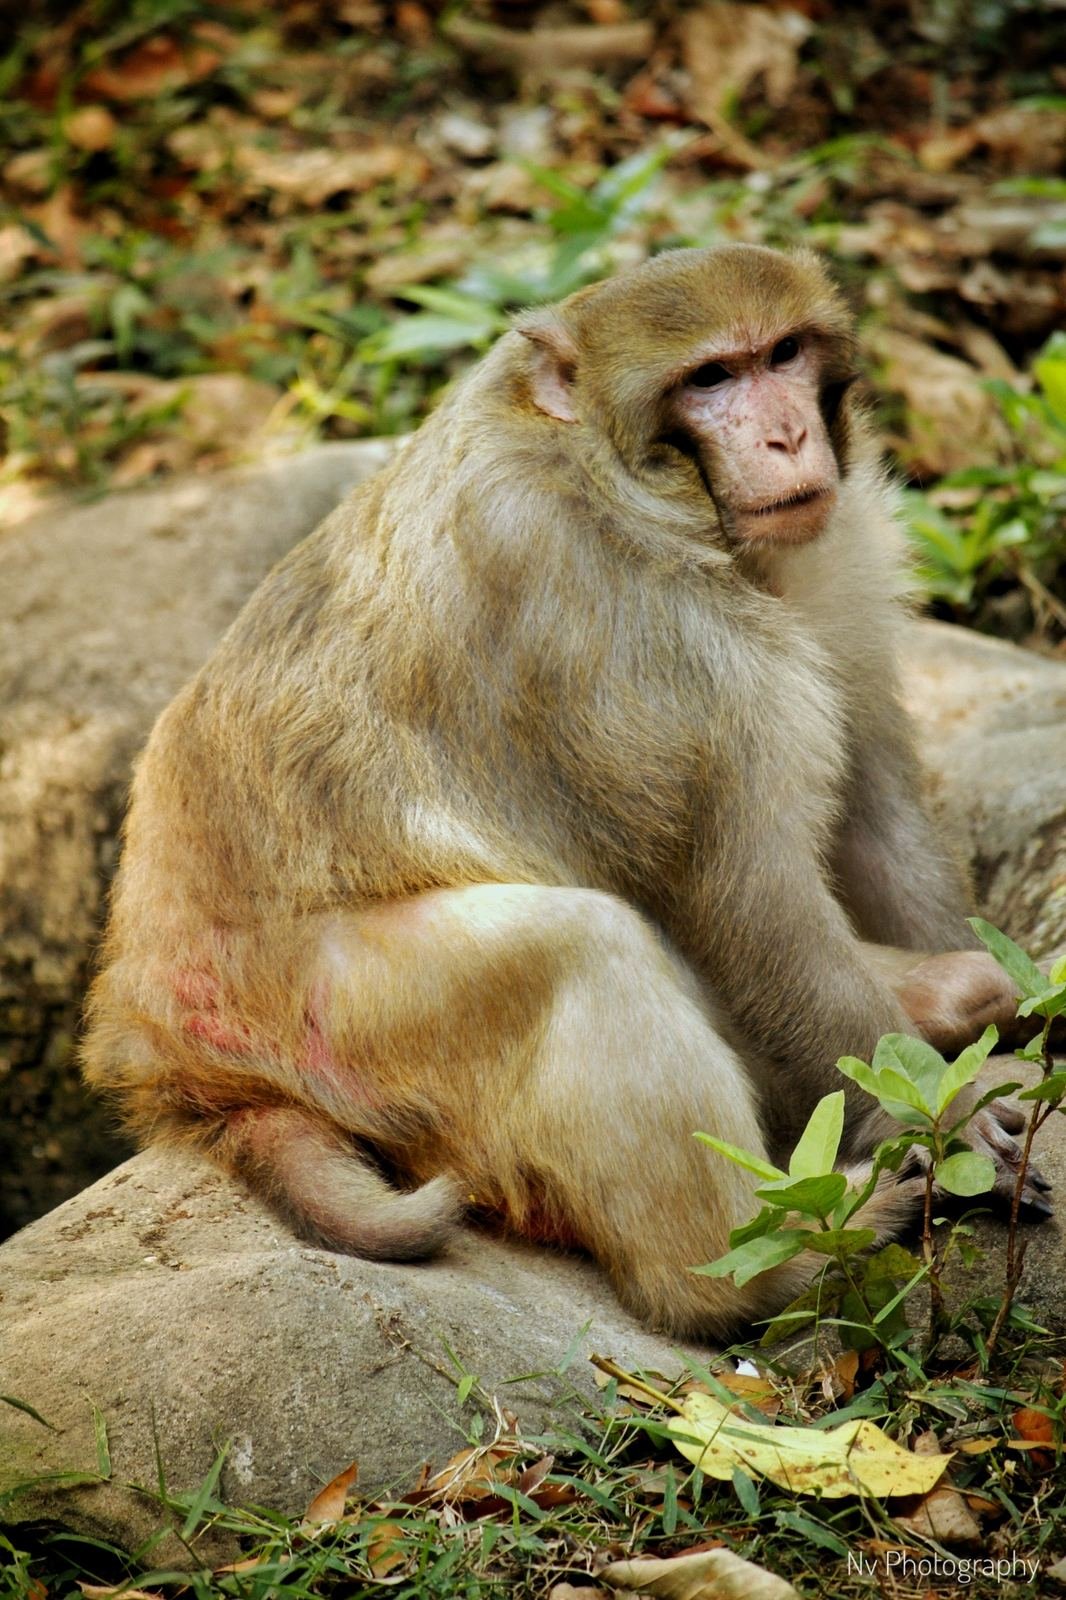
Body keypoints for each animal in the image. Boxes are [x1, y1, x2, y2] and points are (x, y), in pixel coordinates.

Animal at [81, 244, 1050, 1338]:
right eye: (711, 377)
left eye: (783, 355)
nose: (786, 434)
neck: (628, 484)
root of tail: (158, 1041)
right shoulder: (648, 636)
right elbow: (752, 905)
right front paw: (951, 1118)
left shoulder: (838, 555)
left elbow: (874, 808)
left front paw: (992, 1019)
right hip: (331, 1022)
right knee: (578, 947)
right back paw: (745, 1271)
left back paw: (946, 996)